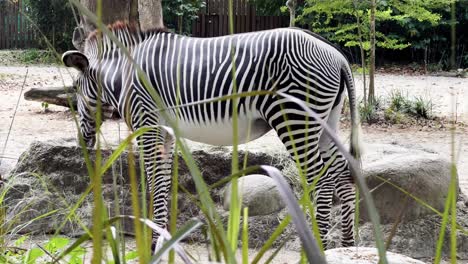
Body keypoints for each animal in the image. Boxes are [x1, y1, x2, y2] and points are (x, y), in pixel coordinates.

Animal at [62, 21, 362, 251]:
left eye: (75, 88)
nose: (83, 141)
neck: (123, 73)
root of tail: (337, 56)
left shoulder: (148, 123)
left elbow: (153, 183)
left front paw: (154, 244)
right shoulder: (166, 132)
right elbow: (164, 183)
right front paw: (165, 241)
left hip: (295, 118)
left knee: (321, 176)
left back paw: (317, 245)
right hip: (326, 122)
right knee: (341, 172)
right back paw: (346, 246)